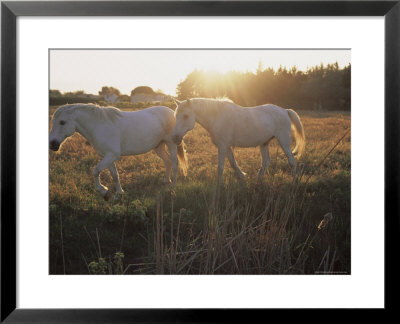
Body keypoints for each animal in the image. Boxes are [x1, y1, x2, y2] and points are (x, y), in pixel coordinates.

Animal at [49, 103, 188, 200]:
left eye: (62, 122)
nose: (52, 144)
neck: (99, 126)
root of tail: (172, 112)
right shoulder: (108, 156)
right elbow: (115, 175)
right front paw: (118, 194)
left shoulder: (112, 155)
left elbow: (95, 171)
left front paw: (103, 192)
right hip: (158, 146)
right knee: (167, 161)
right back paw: (166, 181)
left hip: (171, 143)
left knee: (174, 163)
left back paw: (173, 187)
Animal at [170, 97, 304, 186]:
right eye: (176, 116)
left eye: (186, 116)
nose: (175, 137)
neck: (217, 117)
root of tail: (285, 110)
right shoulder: (227, 146)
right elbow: (233, 163)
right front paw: (242, 177)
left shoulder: (222, 146)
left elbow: (220, 167)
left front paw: (220, 186)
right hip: (264, 143)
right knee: (266, 161)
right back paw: (258, 180)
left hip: (283, 140)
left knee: (291, 160)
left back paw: (294, 182)